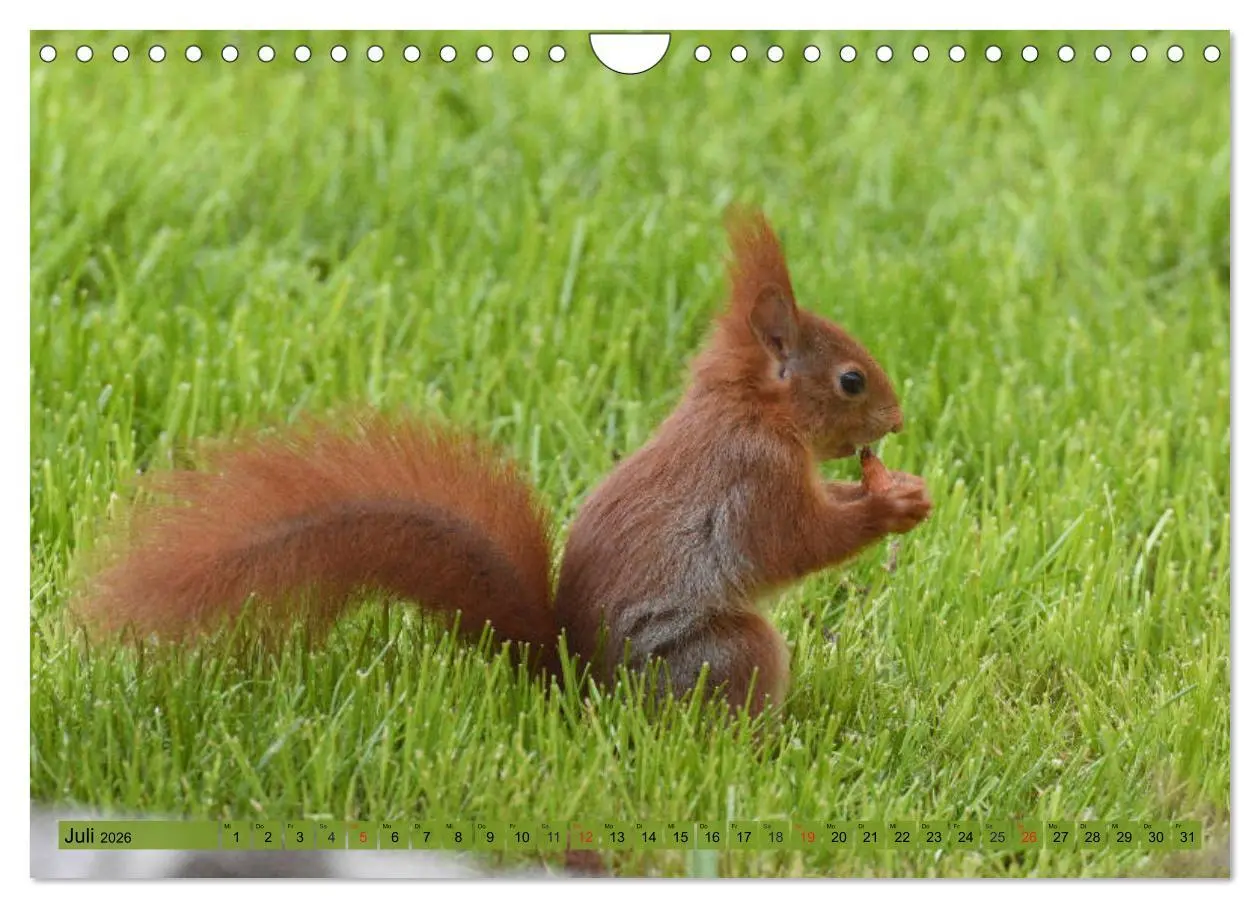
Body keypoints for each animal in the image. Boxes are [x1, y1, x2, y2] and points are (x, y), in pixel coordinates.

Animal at [74, 209, 932, 716]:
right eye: (851, 381)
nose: (897, 420)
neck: (747, 408)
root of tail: (579, 687)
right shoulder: (753, 479)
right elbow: (796, 541)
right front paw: (889, 506)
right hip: (720, 654)